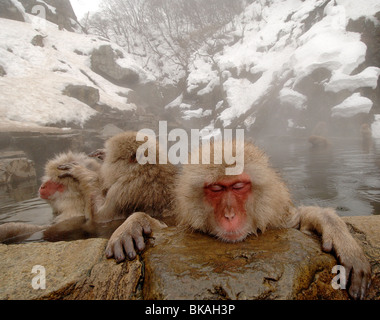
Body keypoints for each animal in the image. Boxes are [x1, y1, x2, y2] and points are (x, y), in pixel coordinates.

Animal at [106, 139, 372, 300]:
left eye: (238, 186)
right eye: (216, 188)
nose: (229, 215)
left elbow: (300, 223)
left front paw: (337, 233)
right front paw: (134, 224)